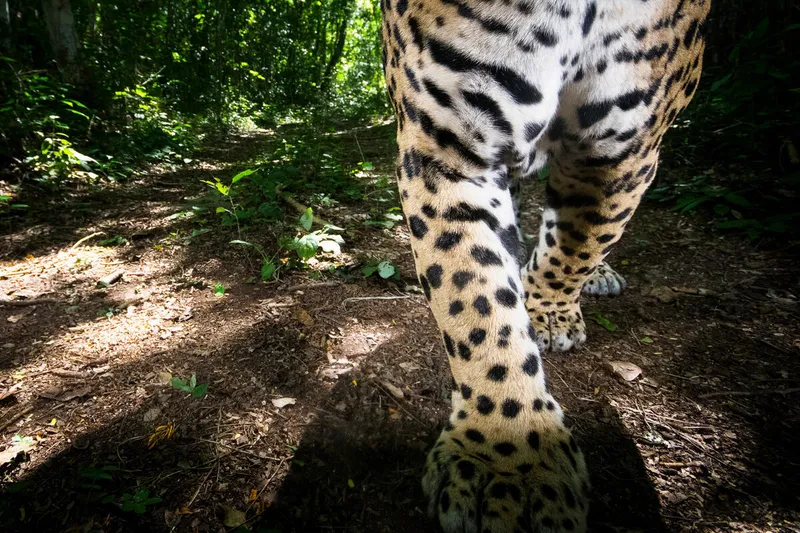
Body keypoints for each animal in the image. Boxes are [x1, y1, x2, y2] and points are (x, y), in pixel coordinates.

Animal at [380, 0, 710, 531]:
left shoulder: (623, 153)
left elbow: (577, 249)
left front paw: (548, 312)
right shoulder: (446, 148)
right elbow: (478, 302)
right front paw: (507, 453)